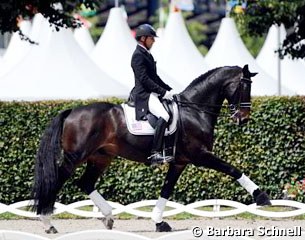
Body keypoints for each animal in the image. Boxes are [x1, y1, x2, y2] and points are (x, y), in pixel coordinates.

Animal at [31, 64, 270, 233]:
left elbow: (166, 189)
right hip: (75, 157)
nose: (243, 118)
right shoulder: (200, 155)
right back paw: (47, 223)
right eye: (245, 86)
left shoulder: (179, 162)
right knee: (58, 180)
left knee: (86, 182)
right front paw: (261, 197)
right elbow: (233, 169)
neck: (195, 110)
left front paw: (159, 222)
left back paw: (108, 217)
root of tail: (71, 112)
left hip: (101, 157)